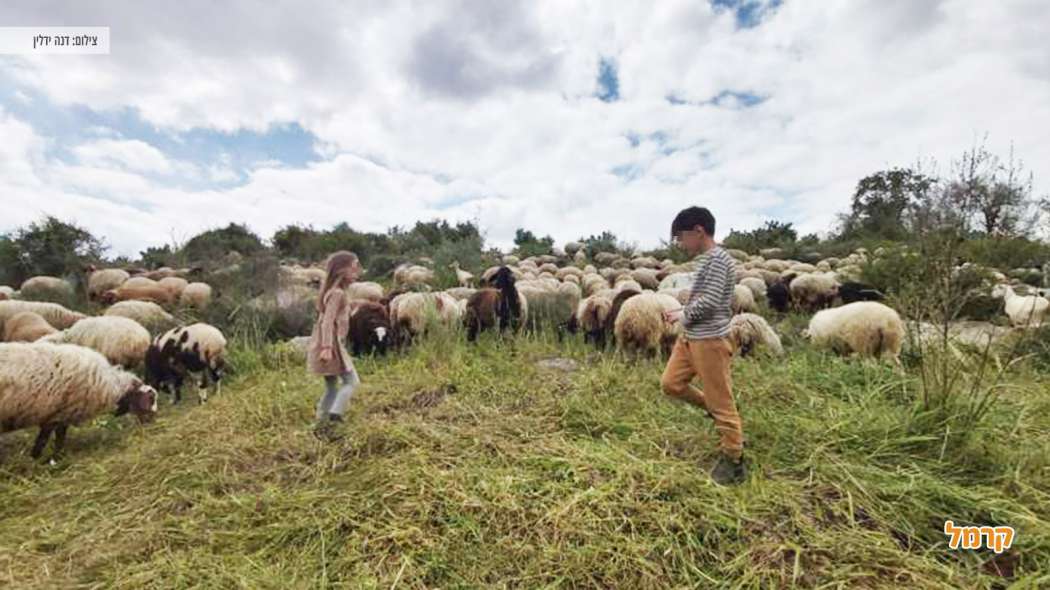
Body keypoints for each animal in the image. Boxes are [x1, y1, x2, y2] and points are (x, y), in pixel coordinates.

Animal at [0, 340, 157, 459]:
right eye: (150, 399)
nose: (152, 422)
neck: (111, 385)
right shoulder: (59, 414)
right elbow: (50, 439)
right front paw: (43, 457)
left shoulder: (57, 415)